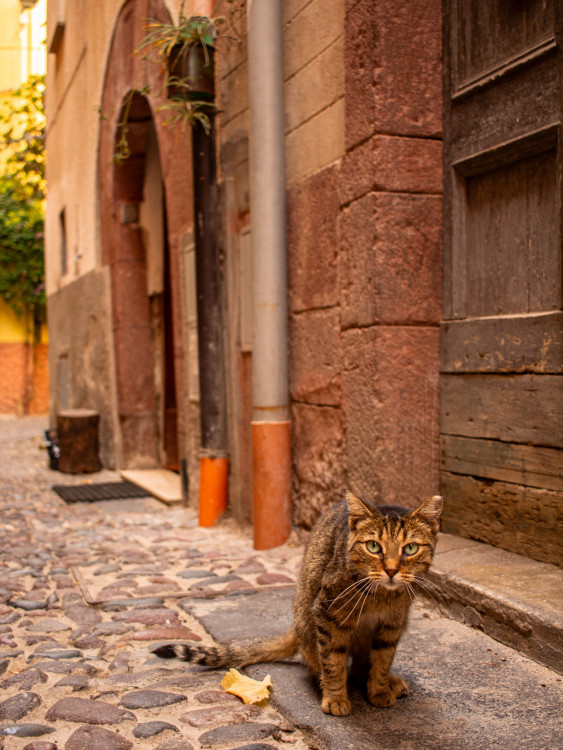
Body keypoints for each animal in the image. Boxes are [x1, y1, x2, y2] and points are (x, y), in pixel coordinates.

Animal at [152, 494, 442, 716]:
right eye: (373, 546)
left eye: (410, 548)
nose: (391, 570)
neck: (381, 597)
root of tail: (296, 625)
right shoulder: (327, 615)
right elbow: (333, 662)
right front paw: (336, 696)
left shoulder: (392, 625)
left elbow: (382, 661)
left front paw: (380, 689)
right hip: (311, 620)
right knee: (323, 663)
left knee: (361, 666)